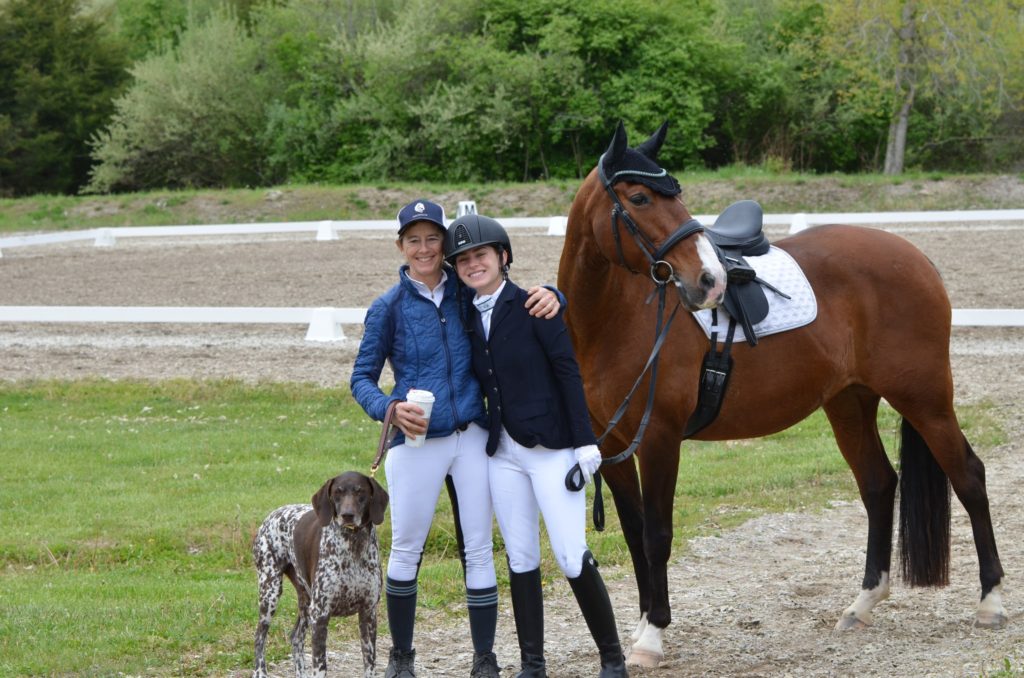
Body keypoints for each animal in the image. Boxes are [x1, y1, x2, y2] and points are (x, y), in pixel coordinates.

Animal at [250, 473, 387, 678]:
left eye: (360, 491)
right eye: (337, 492)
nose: (347, 515)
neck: (353, 545)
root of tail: (271, 516)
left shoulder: (368, 613)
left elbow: (370, 664)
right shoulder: (321, 615)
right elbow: (320, 666)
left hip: (306, 601)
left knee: (296, 637)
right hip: (270, 593)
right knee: (260, 636)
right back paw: (260, 672)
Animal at [565, 123, 1011, 667]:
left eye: (677, 193)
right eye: (640, 197)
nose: (710, 281)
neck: (617, 319)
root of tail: (914, 257)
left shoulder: (660, 440)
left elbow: (656, 535)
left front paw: (653, 635)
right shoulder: (611, 447)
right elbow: (633, 535)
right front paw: (644, 622)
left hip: (925, 400)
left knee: (968, 477)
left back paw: (991, 603)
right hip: (850, 403)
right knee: (879, 484)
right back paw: (862, 604)